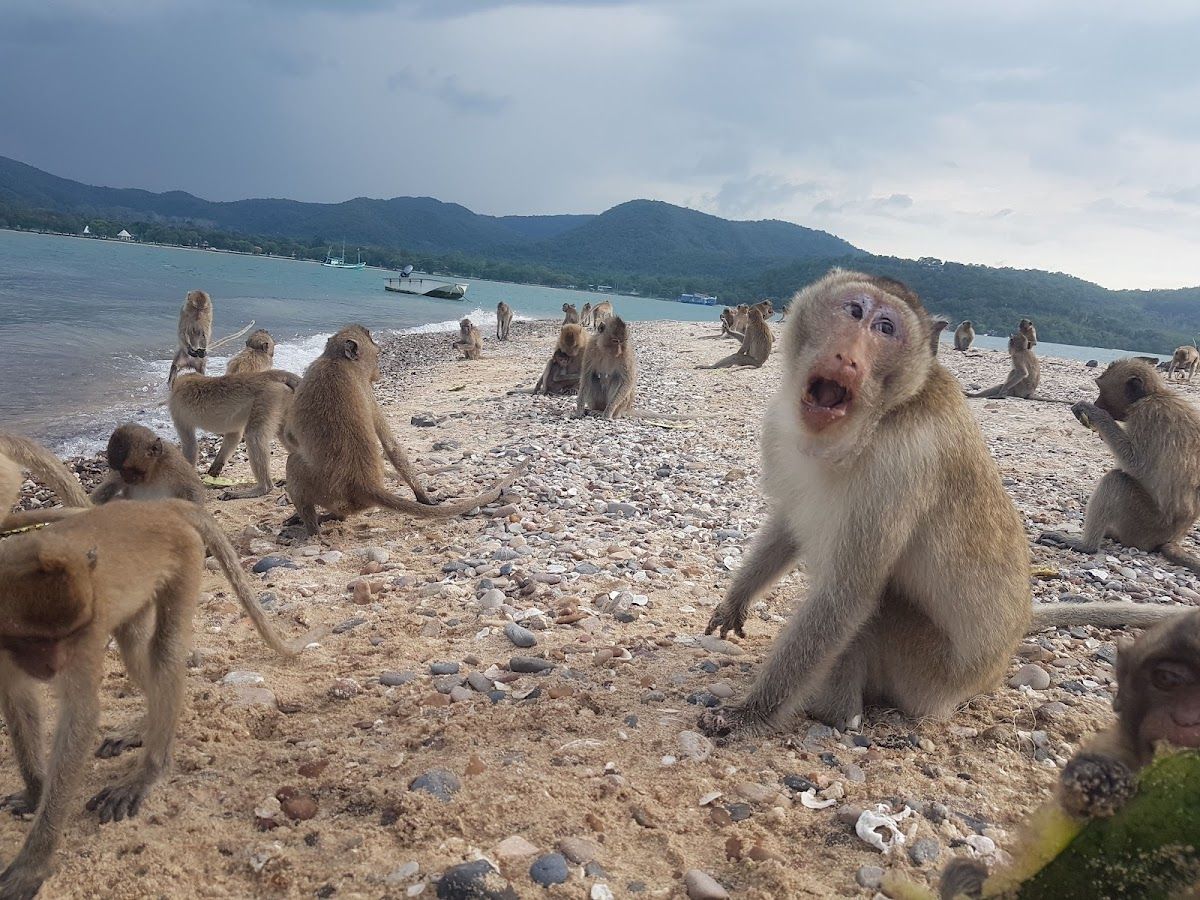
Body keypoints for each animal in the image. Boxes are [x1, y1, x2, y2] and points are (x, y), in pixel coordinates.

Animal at [0, 500, 320, 899]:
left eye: (70, 635)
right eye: (39, 639)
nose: (54, 666)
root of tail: (157, 504)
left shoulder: (85, 635)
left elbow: (80, 716)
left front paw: (34, 862)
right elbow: (18, 700)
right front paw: (35, 791)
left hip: (186, 553)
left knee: (163, 652)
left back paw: (149, 771)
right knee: (135, 644)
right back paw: (143, 727)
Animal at [168, 369, 300, 500]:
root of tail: (271, 374)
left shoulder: (176, 408)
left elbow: (190, 445)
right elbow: (234, 434)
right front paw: (217, 465)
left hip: (269, 396)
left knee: (253, 435)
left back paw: (262, 488)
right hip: (283, 400)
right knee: (283, 434)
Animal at [282, 324, 527, 535]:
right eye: (377, 354)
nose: (378, 372)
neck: (338, 361)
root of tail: (364, 486)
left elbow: (290, 435)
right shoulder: (367, 389)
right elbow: (391, 444)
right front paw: (423, 496)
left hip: (324, 490)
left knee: (293, 463)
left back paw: (312, 530)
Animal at [696, 270, 1181, 743]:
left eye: (886, 328)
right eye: (854, 311)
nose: (847, 357)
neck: (877, 416)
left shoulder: (899, 465)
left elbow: (847, 596)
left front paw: (749, 714)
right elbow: (789, 523)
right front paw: (736, 601)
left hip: (930, 676)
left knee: (881, 601)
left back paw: (839, 713)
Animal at [1038, 358, 1200, 575]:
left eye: (1101, 389)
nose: (1097, 403)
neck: (1154, 395)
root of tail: (1170, 539)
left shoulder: (1146, 414)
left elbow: (1136, 464)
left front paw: (1095, 413)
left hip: (1144, 527)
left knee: (1116, 480)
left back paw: (1086, 546)